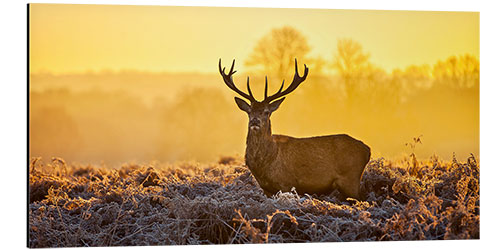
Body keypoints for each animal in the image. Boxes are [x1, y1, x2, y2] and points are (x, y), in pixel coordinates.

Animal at [219, 58, 372, 199]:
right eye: (249, 111)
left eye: (267, 112)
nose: (254, 121)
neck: (265, 163)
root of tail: (367, 149)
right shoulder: (266, 189)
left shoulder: (287, 183)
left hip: (350, 179)